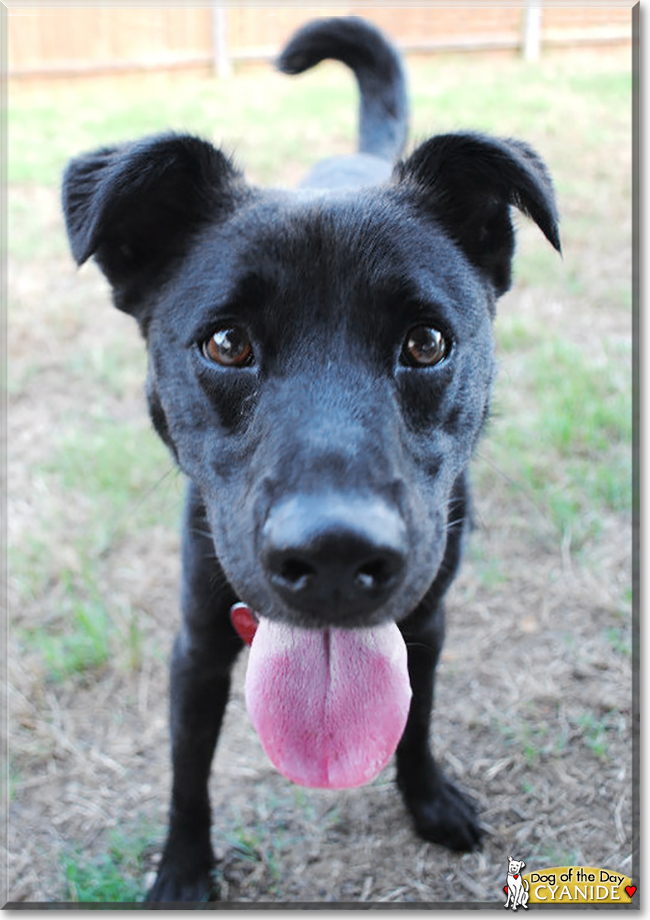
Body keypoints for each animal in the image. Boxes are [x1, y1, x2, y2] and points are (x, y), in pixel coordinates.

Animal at [62, 18, 556, 904]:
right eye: (227, 342)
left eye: (426, 342)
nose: (334, 554)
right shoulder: (196, 648)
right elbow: (188, 774)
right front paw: (182, 870)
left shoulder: (426, 622)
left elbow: (415, 721)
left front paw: (429, 801)